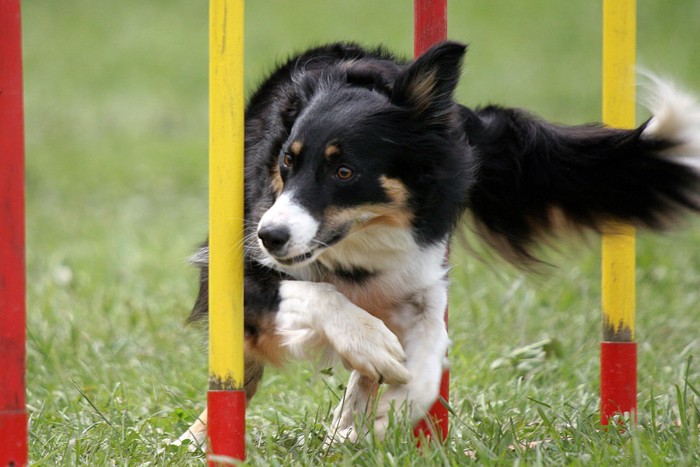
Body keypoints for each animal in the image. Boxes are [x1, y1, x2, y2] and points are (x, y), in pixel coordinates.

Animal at [179, 42, 700, 448]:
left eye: (344, 171)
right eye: (287, 162)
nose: (270, 236)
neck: (362, 240)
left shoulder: (419, 273)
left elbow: (430, 347)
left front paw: (394, 405)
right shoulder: (241, 264)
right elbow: (313, 292)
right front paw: (370, 344)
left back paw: (345, 426)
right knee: (242, 372)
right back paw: (197, 438)